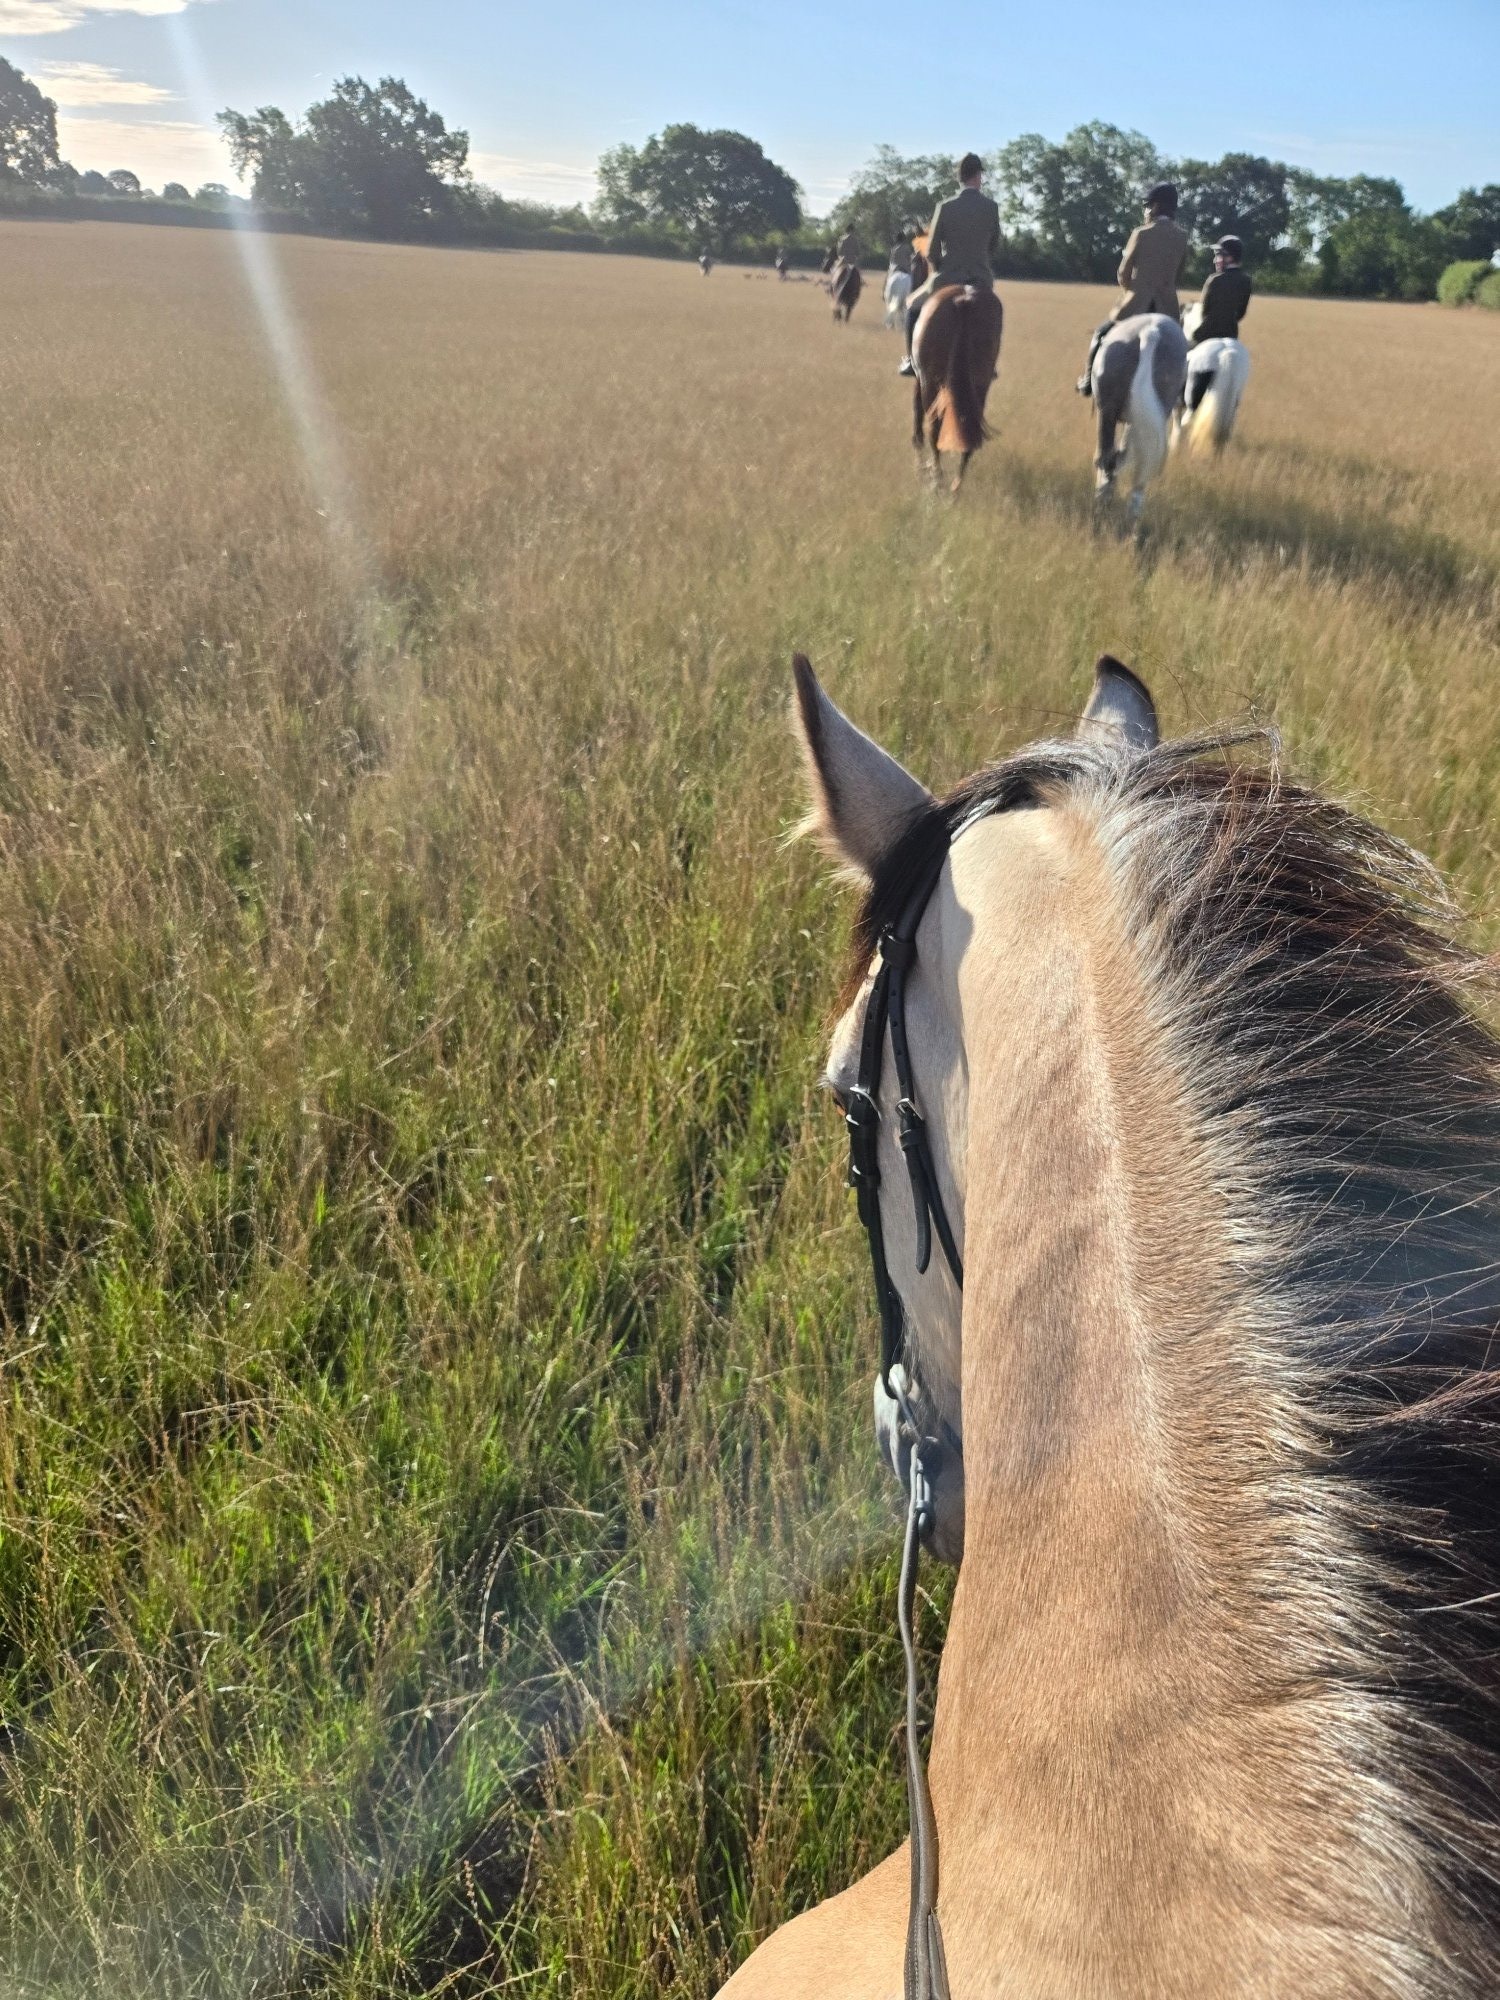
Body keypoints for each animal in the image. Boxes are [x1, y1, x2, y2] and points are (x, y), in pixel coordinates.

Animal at [910, 285, 1003, 490]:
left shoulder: (921, 380)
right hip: (980, 385)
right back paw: (956, 487)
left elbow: (918, 418)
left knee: (934, 431)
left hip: (930, 384)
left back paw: (936, 480)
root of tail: (964, 300)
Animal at [1091, 311, 1187, 525]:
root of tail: (1149, 333)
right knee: (1137, 468)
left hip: (1107, 412)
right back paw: (1130, 518)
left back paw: (1101, 505)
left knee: (1106, 458)